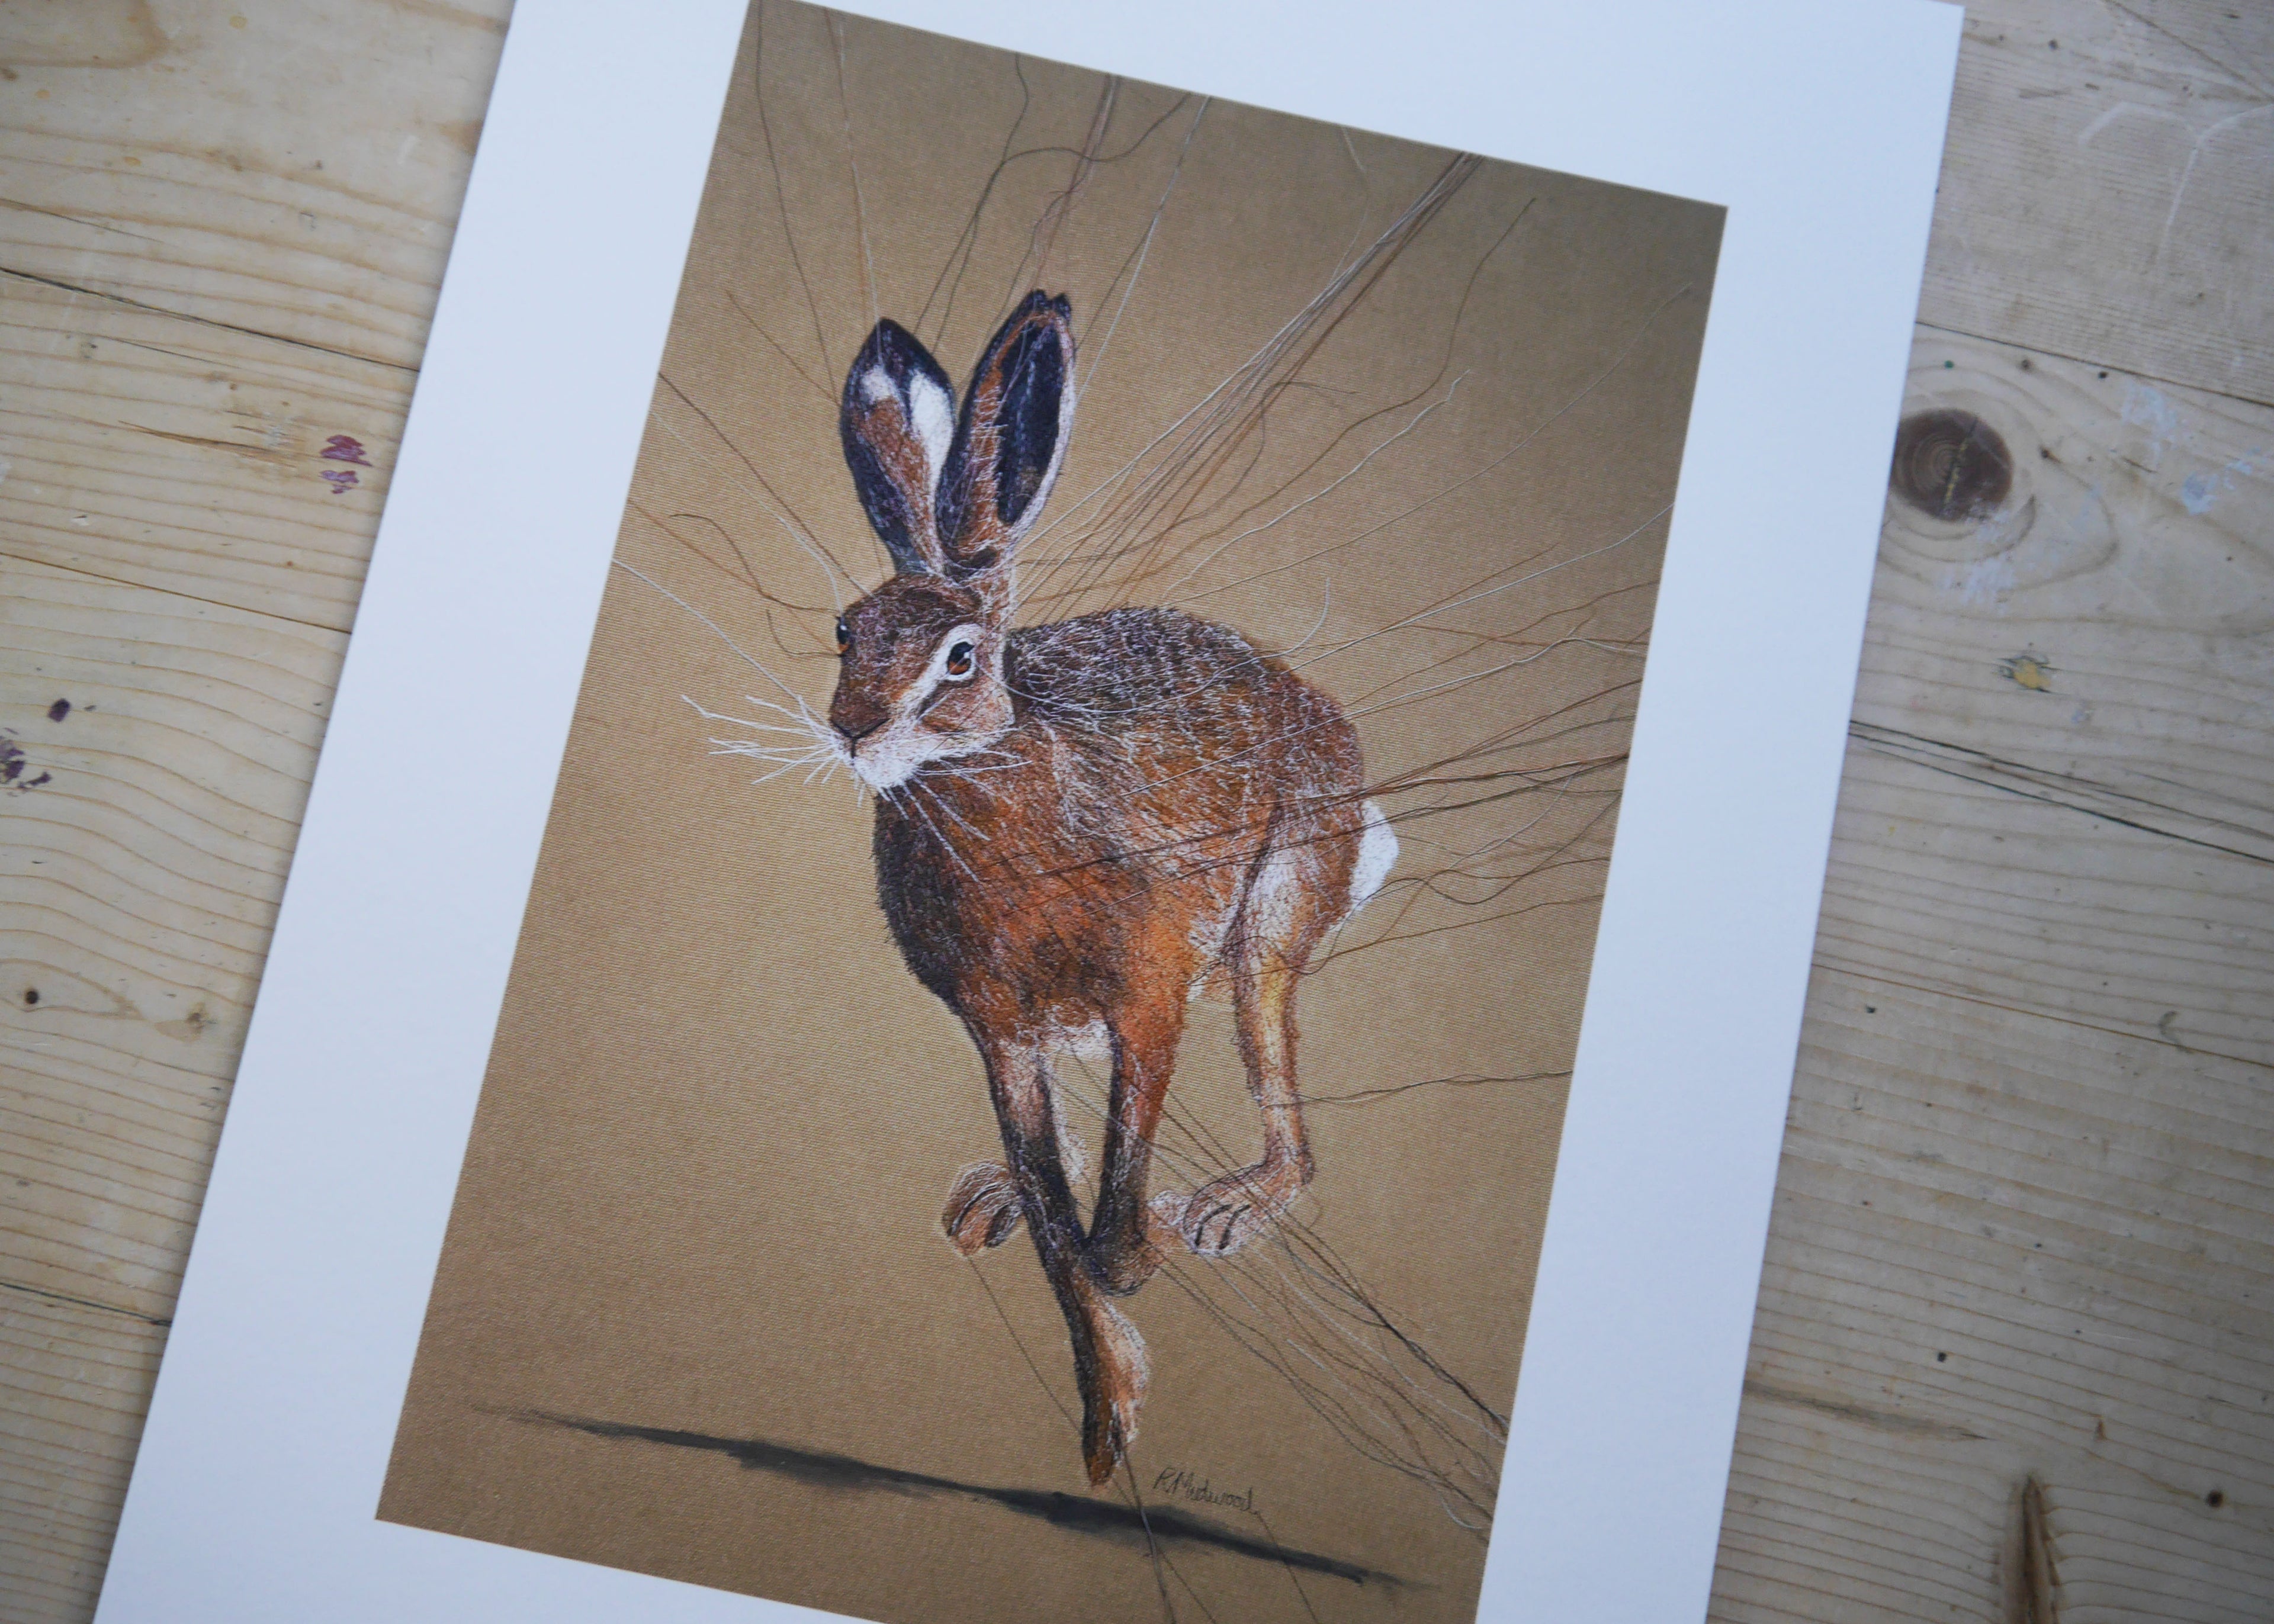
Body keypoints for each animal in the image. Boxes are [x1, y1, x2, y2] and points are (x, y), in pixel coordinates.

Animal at [827, 291, 1397, 1486]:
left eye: (959, 657)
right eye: (846, 631)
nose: (852, 730)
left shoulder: (1149, 994)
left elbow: (1107, 1216)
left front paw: (1129, 1287)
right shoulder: (998, 1028)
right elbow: (1053, 1215)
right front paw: (1104, 1415)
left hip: (1270, 921)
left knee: (1281, 1091)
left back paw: (1228, 1210)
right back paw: (990, 1199)